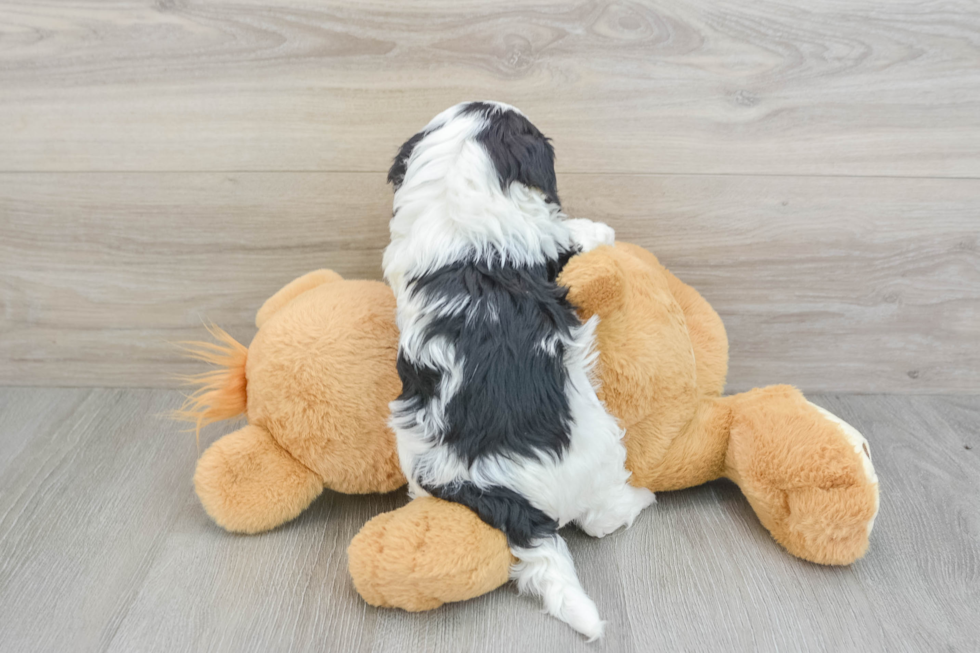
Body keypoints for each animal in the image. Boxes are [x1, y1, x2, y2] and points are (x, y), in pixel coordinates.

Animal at [380, 102, 652, 636]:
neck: (453, 193)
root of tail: (500, 492)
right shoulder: (546, 245)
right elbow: (572, 238)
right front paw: (598, 231)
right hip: (599, 443)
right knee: (599, 518)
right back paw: (640, 499)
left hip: (419, 459)